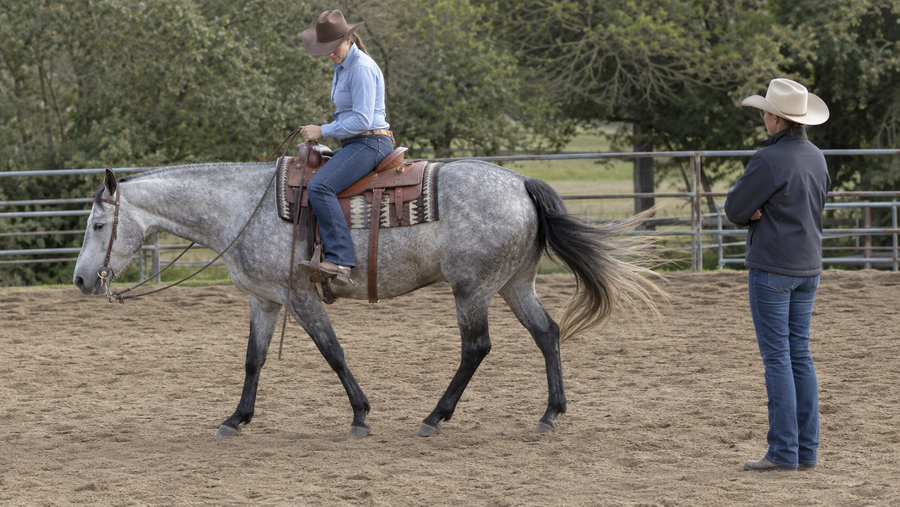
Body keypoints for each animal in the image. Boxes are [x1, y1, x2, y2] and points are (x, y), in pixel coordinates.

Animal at [72, 159, 664, 438]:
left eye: (99, 224)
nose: (80, 281)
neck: (243, 205)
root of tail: (520, 182)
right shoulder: (264, 300)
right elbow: (253, 360)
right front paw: (236, 418)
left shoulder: (299, 295)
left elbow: (333, 352)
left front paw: (360, 415)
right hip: (514, 283)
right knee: (547, 332)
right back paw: (550, 413)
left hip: (472, 288)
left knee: (477, 347)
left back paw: (434, 417)